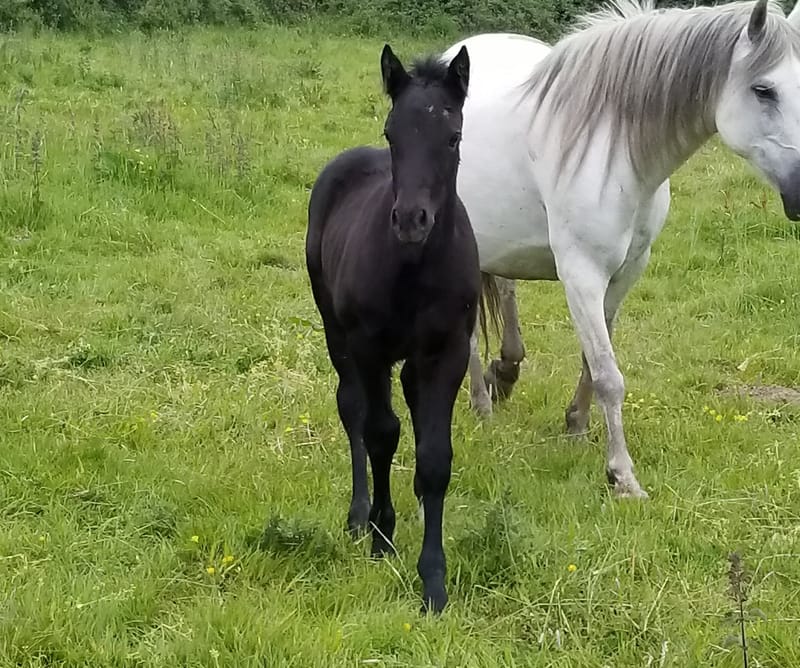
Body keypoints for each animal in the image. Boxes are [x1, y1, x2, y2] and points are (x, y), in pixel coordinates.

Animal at [305, 44, 480, 613]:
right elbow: (381, 434)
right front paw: (383, 535)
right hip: (335, 330)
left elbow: (434, 458)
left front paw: (434, 582)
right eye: (391, 133)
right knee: (353, 410)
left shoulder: (448, 351)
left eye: (453, 136)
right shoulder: (368, 347)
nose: (410, 220)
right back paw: (359, 516)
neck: (415, 267)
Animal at [440, 0, 800, 499]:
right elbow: (609, 375)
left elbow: (592, 360)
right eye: (763, 90)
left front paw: (575, 425)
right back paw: (481, 403)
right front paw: (622, 476)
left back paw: (503, 374)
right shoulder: (582, 275)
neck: (616, 149)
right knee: (471, 330)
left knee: (505, 294)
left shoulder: (625, 272)